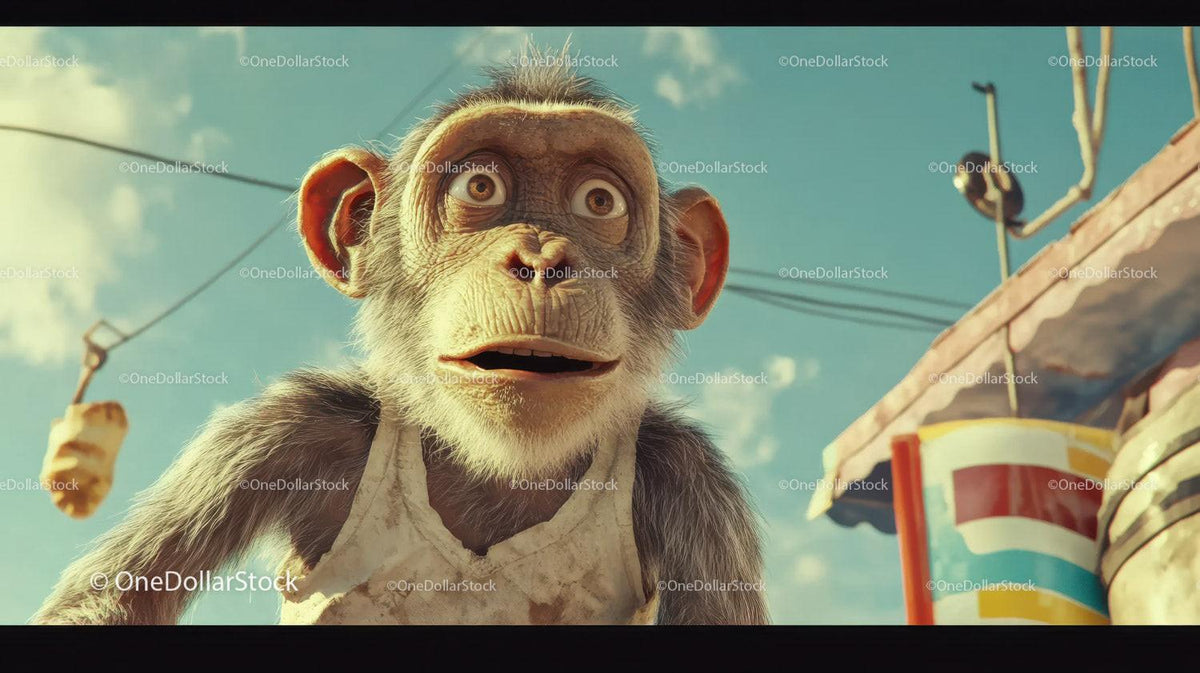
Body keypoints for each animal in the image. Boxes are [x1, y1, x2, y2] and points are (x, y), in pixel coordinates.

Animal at [32, 45, 767, 626]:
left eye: (598, 201)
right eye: (480, 186)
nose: (541, 259)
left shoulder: (695, 485)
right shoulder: (286, 433)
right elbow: (118, 596)